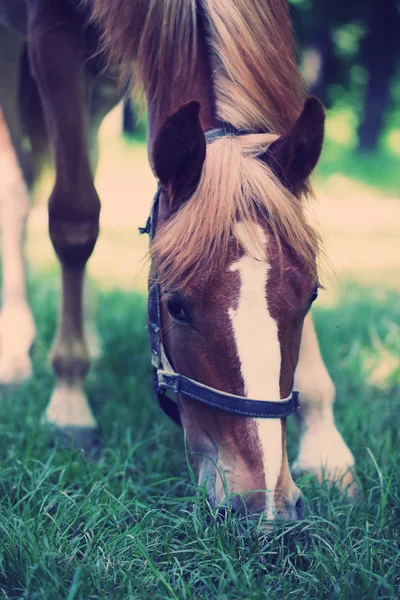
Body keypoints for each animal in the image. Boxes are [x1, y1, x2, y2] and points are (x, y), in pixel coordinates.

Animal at [0, 0, 356, 520]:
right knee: (19, 189)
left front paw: (326, 441)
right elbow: (74, 218)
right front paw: (69, 404)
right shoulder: (50, 30)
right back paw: (17, 348)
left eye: (312, 295)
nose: (264, 505)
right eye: (176, 307)